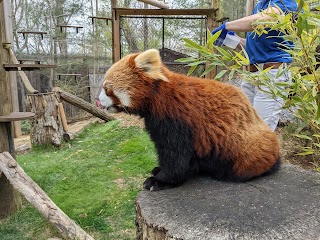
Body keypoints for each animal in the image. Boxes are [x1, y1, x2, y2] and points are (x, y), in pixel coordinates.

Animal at [102, 48, 280, 191]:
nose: (98, 101)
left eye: (107, 89)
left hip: (245, 148)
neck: (158, 97)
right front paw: (159, 170)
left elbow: (175, 155)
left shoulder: (176, 119)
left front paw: (160, 181)